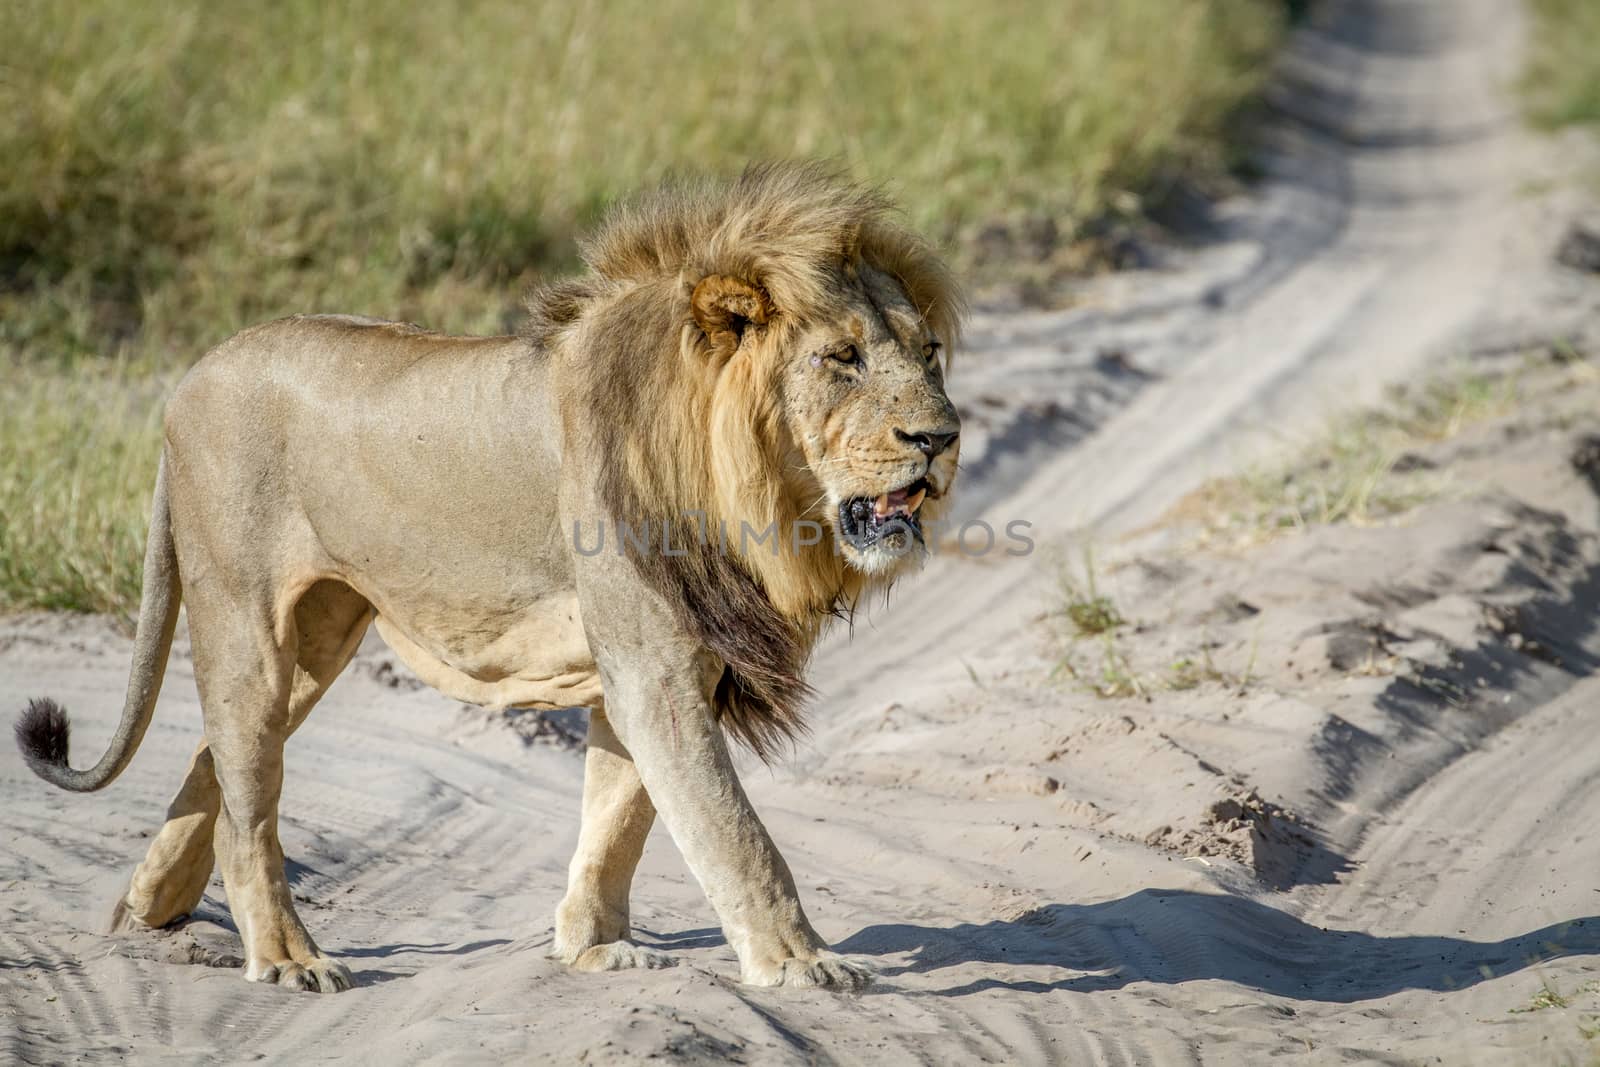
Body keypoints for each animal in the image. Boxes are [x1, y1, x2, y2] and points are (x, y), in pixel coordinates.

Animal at [12, 158, 960, 991]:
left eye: (931, 354)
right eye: (842, 358)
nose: (942, 437)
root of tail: (189, 379)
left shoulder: (656, 668)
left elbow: (620, 813)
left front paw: (592, 946)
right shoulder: (654, 668)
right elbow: (734, 831)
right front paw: (803, 961)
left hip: (317, 636)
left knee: (212, 760)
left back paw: (146, 912)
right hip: (247, 624)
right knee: (248, 800)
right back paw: (285, 958)